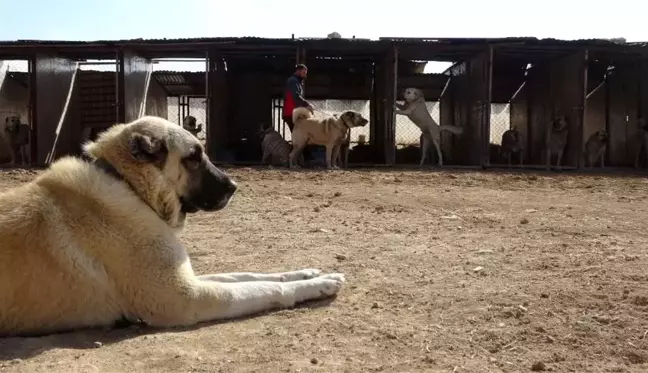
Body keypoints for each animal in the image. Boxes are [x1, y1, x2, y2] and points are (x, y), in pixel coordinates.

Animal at [0, 115, 344, 336]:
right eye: (193, 157)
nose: (234, 186)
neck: (128, 185)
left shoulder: (185, 276)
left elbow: (250, 275)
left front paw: (309, 273)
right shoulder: (185, 297)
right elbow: (264, 287)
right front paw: (318, 285)